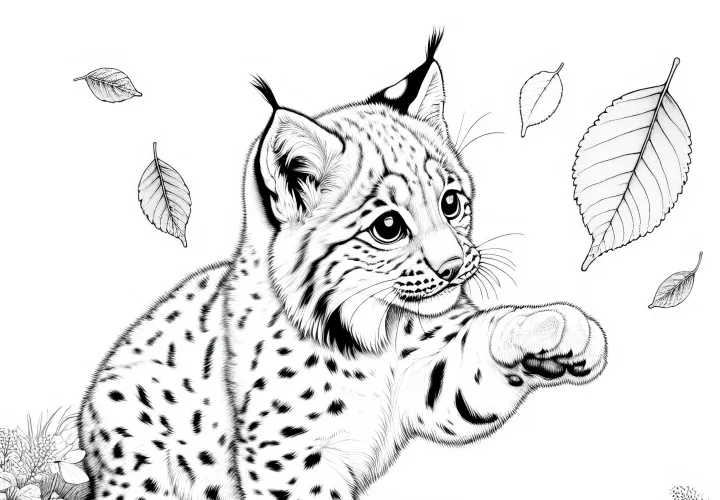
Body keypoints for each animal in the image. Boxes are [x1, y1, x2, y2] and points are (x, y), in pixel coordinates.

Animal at [79, 30, 608, 500]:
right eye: (388, 227)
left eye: (451, 203)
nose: (455, 267)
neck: (373, 335)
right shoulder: (290, 456)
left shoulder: (427, 376)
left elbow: (471, 356)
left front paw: (560, 327)